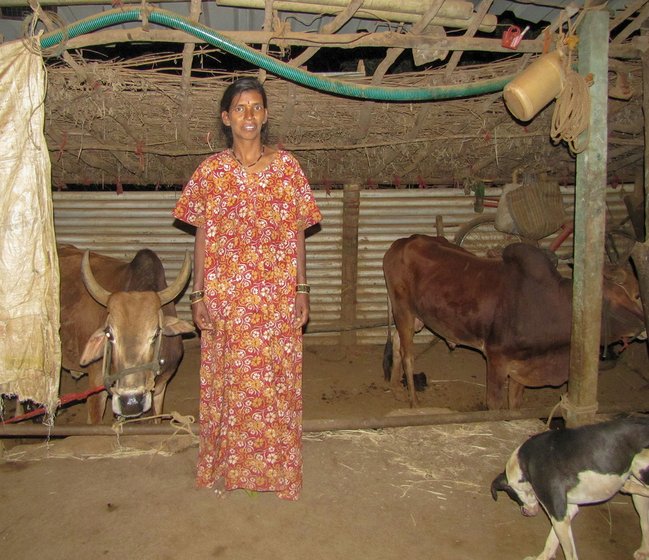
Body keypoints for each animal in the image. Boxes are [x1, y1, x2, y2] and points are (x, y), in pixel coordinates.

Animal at [382, 234, 644, 410]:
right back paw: (414, 402)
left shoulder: (522, 364)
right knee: (407, 354)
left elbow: (515, 404)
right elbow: (495, 404)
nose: (644, 326)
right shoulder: (496, 360)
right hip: (404, 310)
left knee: (396, 342)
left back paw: (395, 389)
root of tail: (401, 242)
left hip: (418, 317)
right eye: (635, 295)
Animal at [492, 416, 648, 560]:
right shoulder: (565, 512)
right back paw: (644, 551)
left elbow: (569, 553)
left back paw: (627, 486)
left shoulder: (558, 515)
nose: (524, 513)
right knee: (645, 521)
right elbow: (551, 541)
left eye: (512, 495)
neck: (524, 465)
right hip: (638, 496)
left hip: (639, 465)